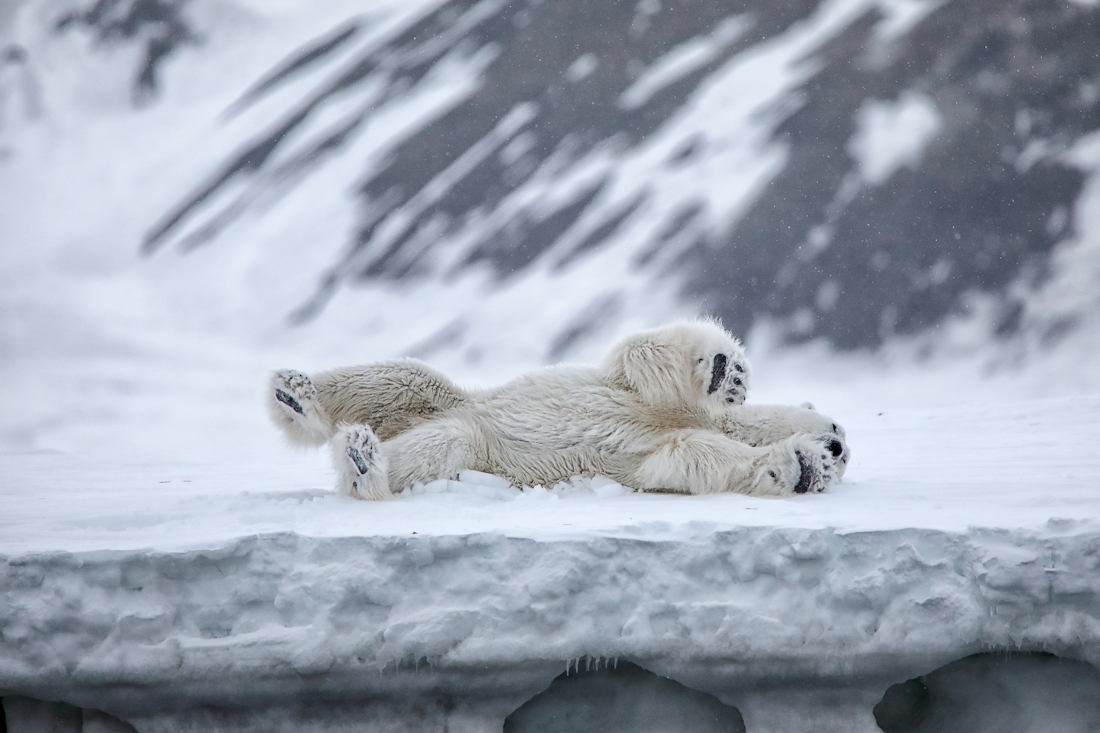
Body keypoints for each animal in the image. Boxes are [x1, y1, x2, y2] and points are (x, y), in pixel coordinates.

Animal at [267, 320, 848, 500]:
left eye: (843, 458)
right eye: (839, 425)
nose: (838, 446)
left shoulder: (650, 454)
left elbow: (692, 456)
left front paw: (802, 467)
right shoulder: (636, 391)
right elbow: (639, 354)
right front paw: (727, 372)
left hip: (474, 444)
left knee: (438, 443)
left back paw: (364, 461)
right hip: (455, 398)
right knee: (401, 379)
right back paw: (295, 395)